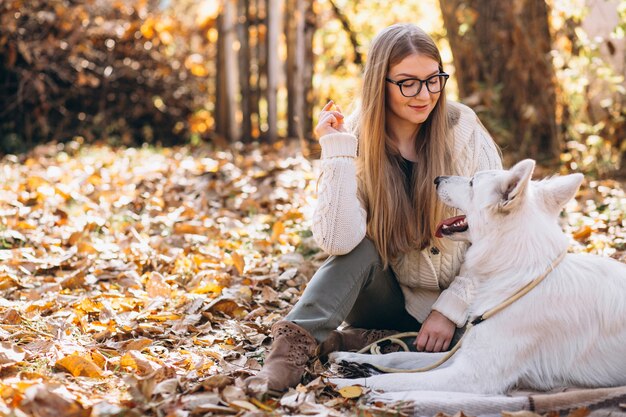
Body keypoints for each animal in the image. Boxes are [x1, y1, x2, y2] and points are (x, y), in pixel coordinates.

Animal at [326, 159, 624, 394]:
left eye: (471, 183)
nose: (437, 178)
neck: (517, 274)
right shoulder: (459, 356)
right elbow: (398, 360)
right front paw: (347, 357)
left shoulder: (470, 375)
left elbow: (395, 381)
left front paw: (344, 384)